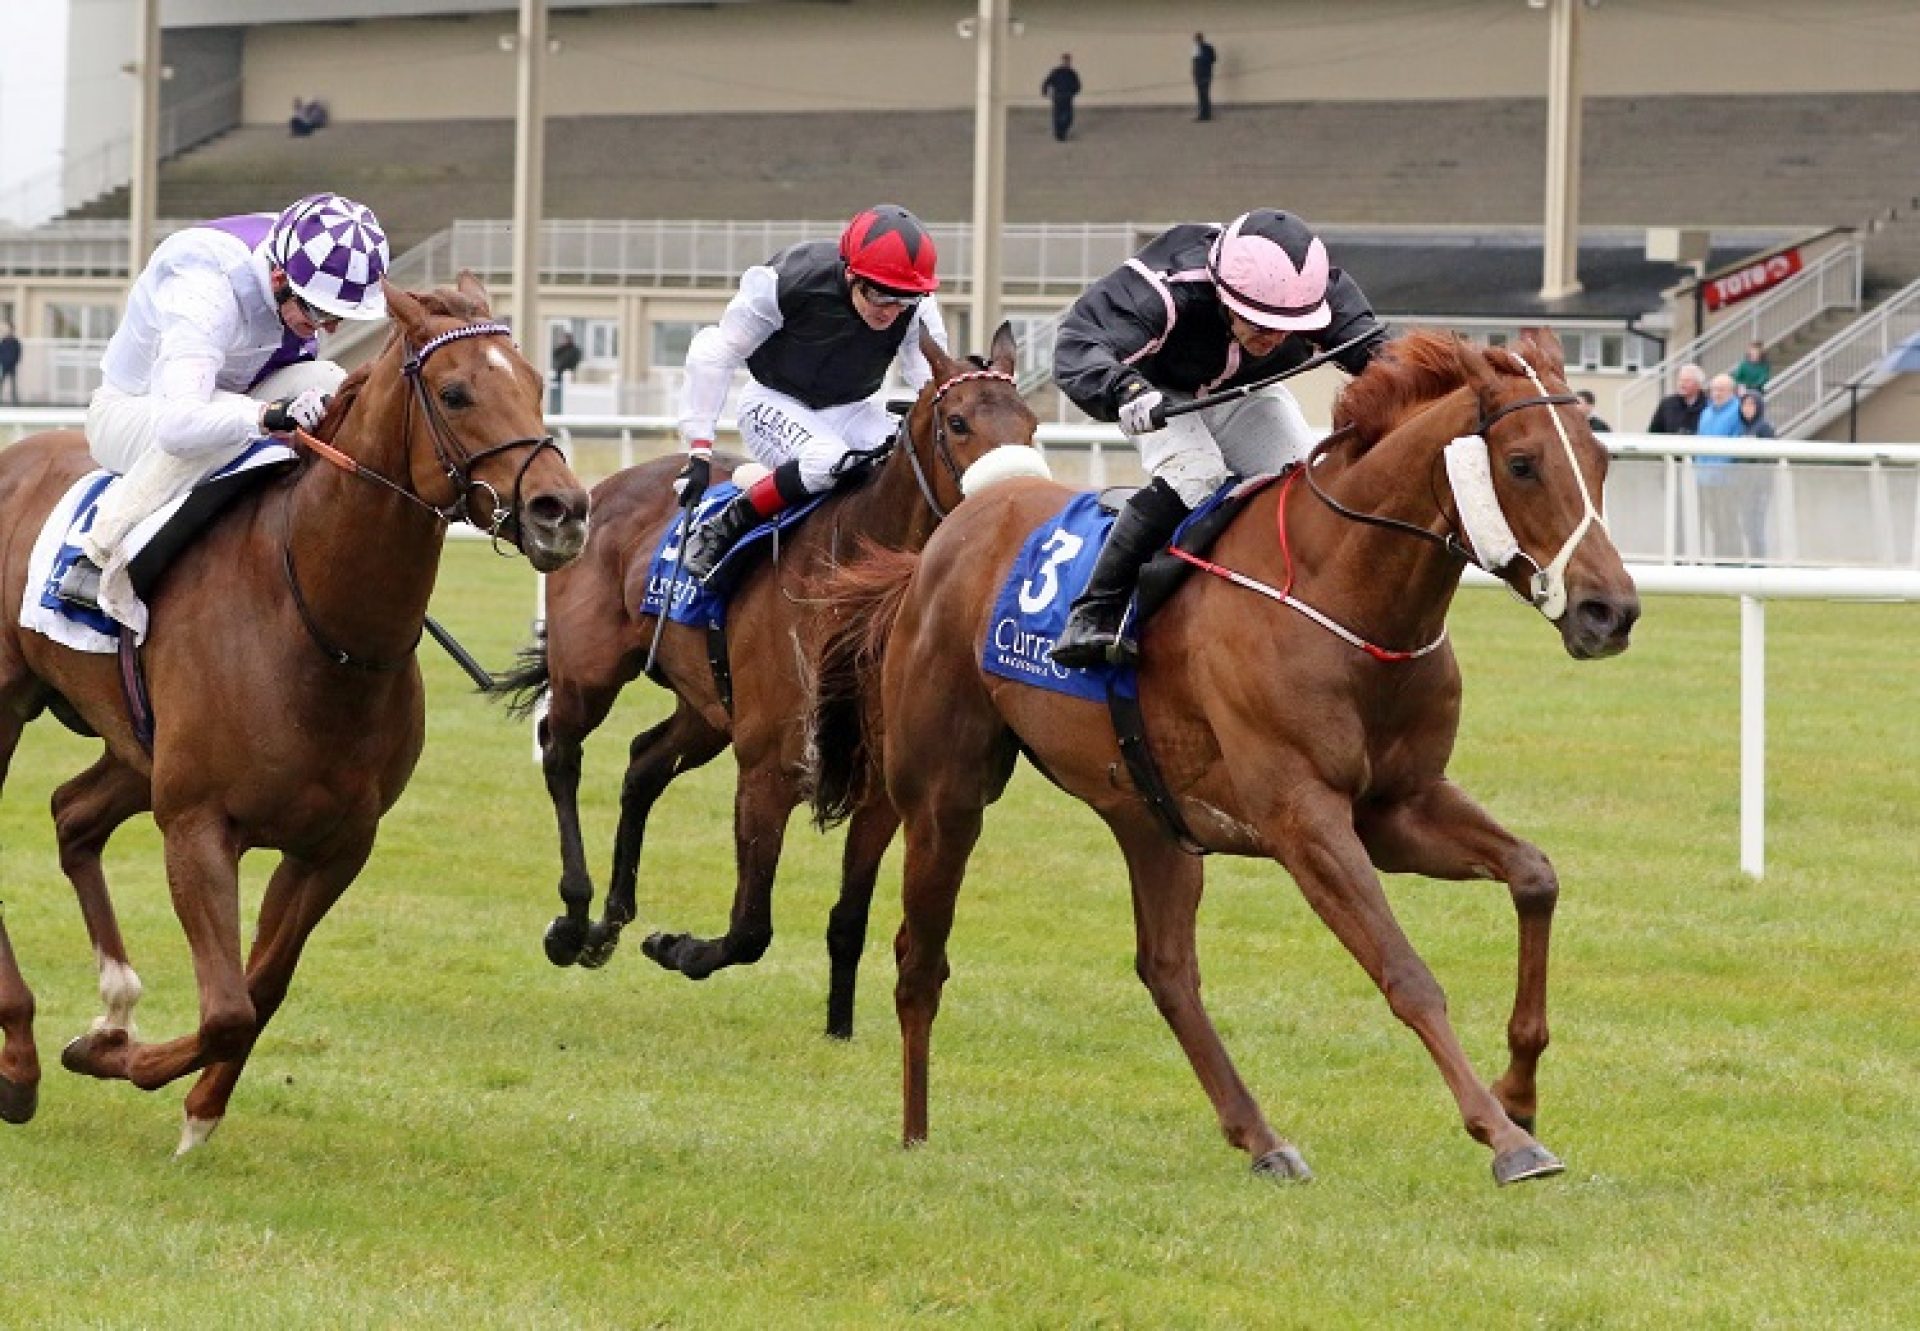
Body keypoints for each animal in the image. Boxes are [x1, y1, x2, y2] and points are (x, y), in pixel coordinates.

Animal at [0, 274, 587, 1144]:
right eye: (455, 392)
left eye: (538, 381)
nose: (563, 510)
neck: (319, 626)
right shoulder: (197, 824)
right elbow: (226, 1008)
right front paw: (113, 1057)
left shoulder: (334, 844)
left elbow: (261, 988)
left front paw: (188, 1099)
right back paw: (23, 1054)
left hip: (135, 748)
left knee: (73, 813)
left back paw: (113, 997)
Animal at [487, 324, 1044, 1037]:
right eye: (959, 422)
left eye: (1030, 424)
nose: (1015, 505)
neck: (855, 594)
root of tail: (597, 491)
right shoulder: (769, 769)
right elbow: (751, 928)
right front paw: (676, 948)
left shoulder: (882, 788)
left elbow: (848, 920)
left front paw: (839, 1030)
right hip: (590, 673)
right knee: (561, 752)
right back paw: (574, 919)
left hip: (707, 708)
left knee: (643, 763)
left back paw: (609, 924)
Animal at [806, 332, 1635, 1183]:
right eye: (1523, 463)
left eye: (1600, 458)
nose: (1611, 611)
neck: (1341, 590)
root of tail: (942, 543)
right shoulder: (1305, 820)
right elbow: (1405, 971)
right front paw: (1505, 1136)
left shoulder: (1400, 805)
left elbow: (1534, 874)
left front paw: (1520, 1089)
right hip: (945, 796)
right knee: (919, 957)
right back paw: (915, 1132)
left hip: (1147, 813)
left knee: (1168, 969)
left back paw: (1262, 1137)